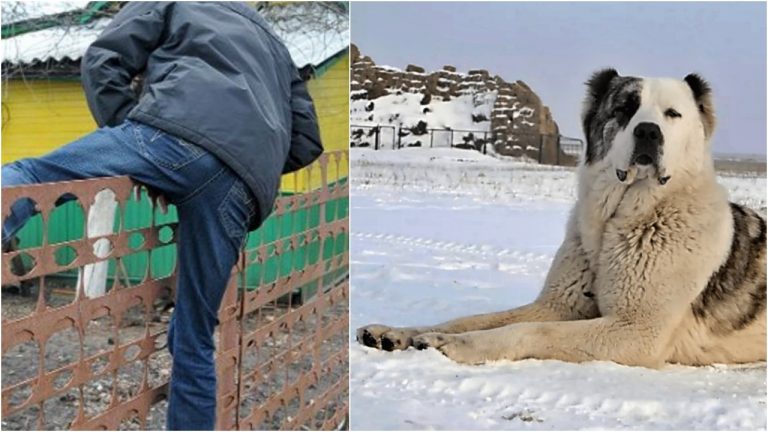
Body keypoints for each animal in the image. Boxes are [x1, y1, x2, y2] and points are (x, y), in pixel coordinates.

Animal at [356, 69, 764, 366]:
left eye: (673, 114)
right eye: (624, 108)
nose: (649, 131)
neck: (618, 219)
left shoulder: (636, 331)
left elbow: (531, 331)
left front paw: (452, 345)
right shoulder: (558, 305)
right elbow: (475, 318)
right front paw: (400, 332)